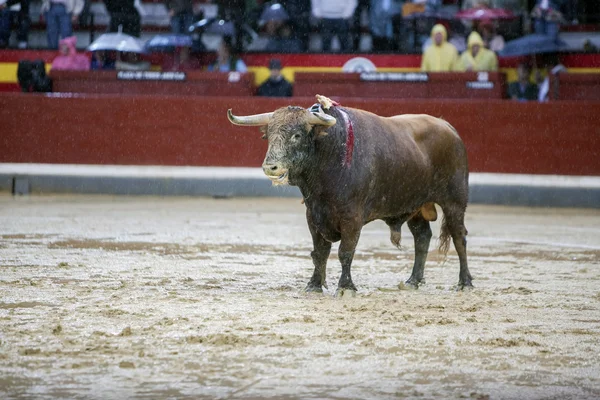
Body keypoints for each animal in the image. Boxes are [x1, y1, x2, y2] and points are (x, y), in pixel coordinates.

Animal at [227, 95, 472, 296]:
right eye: (269, 135)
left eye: (296, 135)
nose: (271, 167)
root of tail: (448, 127)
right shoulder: (313, 216)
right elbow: (320, 252)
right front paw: (314, 285)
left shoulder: (352, 218)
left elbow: (345, 252)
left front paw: (345, 287)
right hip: (416, 205)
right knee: (422, 237)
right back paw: (413, 281)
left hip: (455, 201)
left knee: (459, 237)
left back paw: (464, 283)